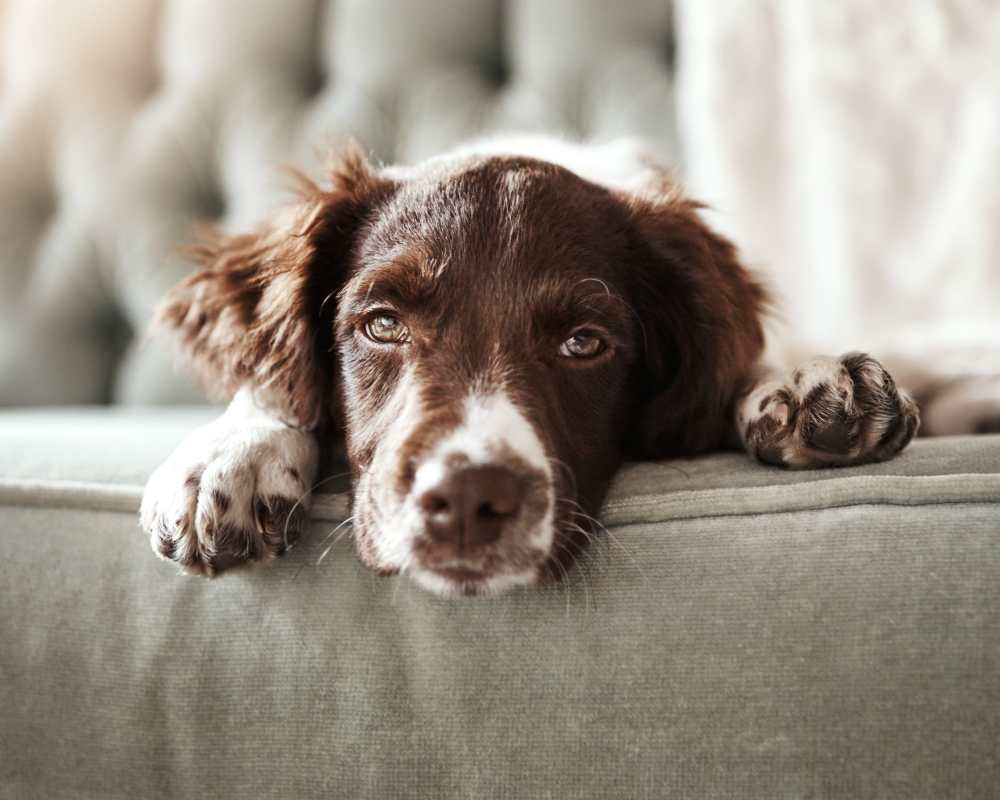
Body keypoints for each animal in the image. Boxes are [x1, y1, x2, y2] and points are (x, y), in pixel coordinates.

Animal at [139, 138, 920, 596]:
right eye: (382, 324)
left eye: (585, 343)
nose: (465, 500)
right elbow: (271, 384)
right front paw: (229, 456)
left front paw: (806, 383)